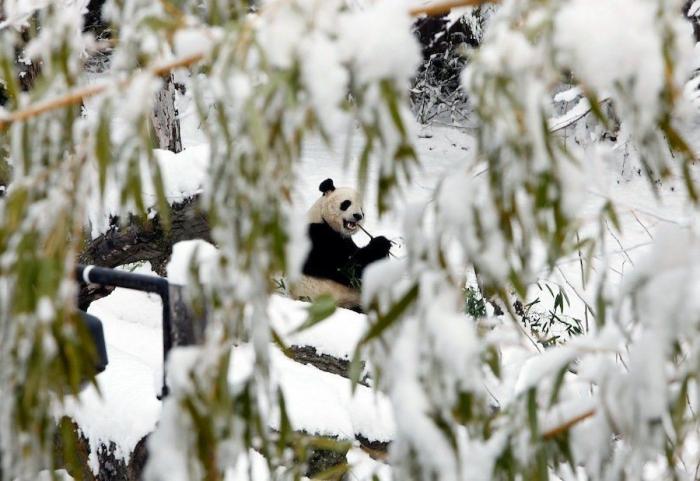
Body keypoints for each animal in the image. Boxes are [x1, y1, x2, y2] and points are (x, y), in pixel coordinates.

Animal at [290, 178, 392, 310]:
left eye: (362, 210)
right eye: (346, 203)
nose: (358, 216)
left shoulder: (346, 240)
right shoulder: (316, 239)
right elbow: (347, 269)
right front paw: (381, 243)